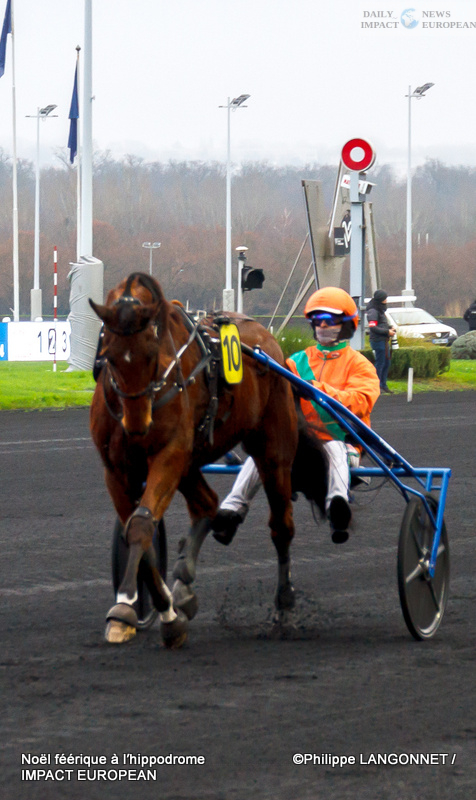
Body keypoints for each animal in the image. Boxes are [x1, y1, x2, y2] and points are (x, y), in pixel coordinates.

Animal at [89, 272, 326, 648]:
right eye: (109, 353)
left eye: (152, 353)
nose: (137, 425)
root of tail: (269, 344)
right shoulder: (116, 470)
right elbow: (139, 531)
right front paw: (149, 607)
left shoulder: (169, 454)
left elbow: (141, 526)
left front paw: (138, 611)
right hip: (190, 462)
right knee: (207, 503)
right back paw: (184, 584)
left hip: (273, 448)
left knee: (281, 526)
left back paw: (284, 605)